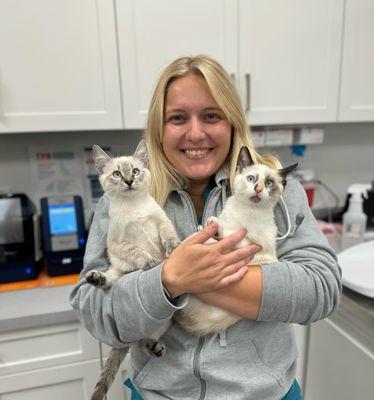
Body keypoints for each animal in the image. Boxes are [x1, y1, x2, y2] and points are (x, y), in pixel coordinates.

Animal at [85, 143, 179, 400]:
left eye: (135, 171)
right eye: (117, 174)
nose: (128, 181)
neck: (133, 207)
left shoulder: (161, 222)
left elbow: (168, 236)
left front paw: (174, 248)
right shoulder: (120, 244)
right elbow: (139, 252)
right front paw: (151, 262)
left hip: (164, 322)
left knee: (140, 342)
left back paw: (156, 348)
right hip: (117, 270)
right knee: (109, 282)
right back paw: (95, 277)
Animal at [173, 145, 298, 336]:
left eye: (269, 183)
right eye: (251, 178)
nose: (258, 189)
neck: (246, 210)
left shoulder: (263, 253)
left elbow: (239, 239)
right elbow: (217, 227)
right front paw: (211, 225)